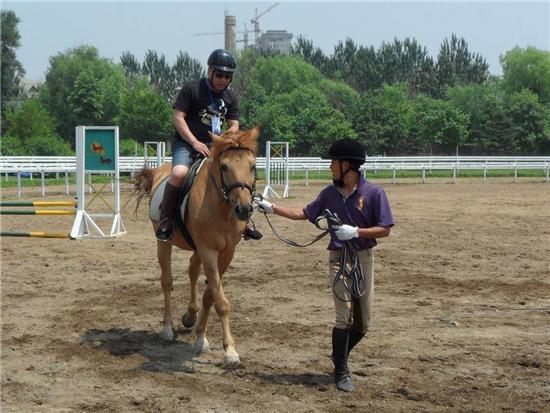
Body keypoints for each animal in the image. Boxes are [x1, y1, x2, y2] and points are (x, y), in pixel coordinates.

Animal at [135, 125, 262, 366]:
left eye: (252, 166)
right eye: (224, 166)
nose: (244, 209)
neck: (222, 208)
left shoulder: (227, 252)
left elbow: (210, 294)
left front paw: (201, 338)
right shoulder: (208, 251)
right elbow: (220, 300)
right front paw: (230, 352)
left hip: (197, 250)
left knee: (192, 272)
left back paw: (190, 315)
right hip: (164, 244)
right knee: (167, 281)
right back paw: (167, 329)